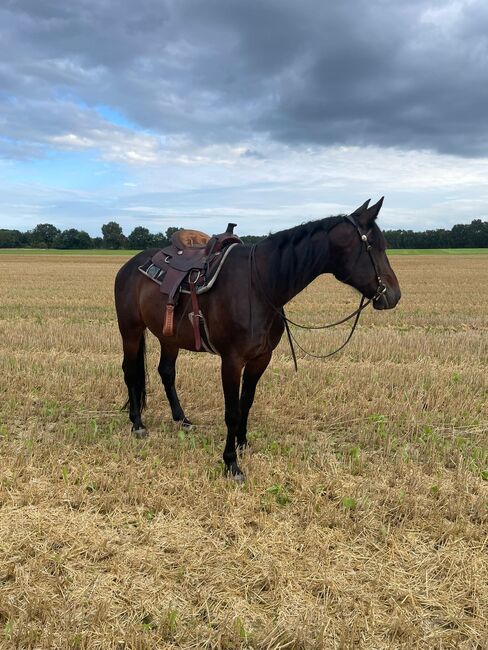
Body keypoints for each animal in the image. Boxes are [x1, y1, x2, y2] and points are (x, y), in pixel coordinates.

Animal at [114, 195, 400, 478]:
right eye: (373, 245)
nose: (394, 295)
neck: (260, 285)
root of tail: (130, 266)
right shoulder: (231, 361)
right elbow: (231, 411)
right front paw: (231, 463)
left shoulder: (261, 358)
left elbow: (246, 403)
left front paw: (242, 443)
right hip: (130, 330)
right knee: (130, 371)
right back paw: (137, 424)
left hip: (169, 337)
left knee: (166, 372)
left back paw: (182, 419)